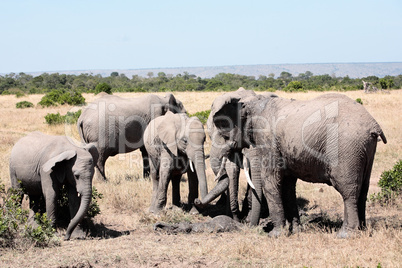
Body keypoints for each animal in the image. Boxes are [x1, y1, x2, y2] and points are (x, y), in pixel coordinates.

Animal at [207, 92, 386, 239]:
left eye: (222, 135)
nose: (246, 224)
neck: (253, 102)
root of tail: (374, 125)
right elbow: (288, 186)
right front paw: (296, 231)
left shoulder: (268, 140)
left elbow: (270, 181)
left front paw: (275, 235)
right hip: (365, 148)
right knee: (363, 189)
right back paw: (363, 230)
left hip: (346, 148)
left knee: (348, 190)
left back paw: (346, 235)